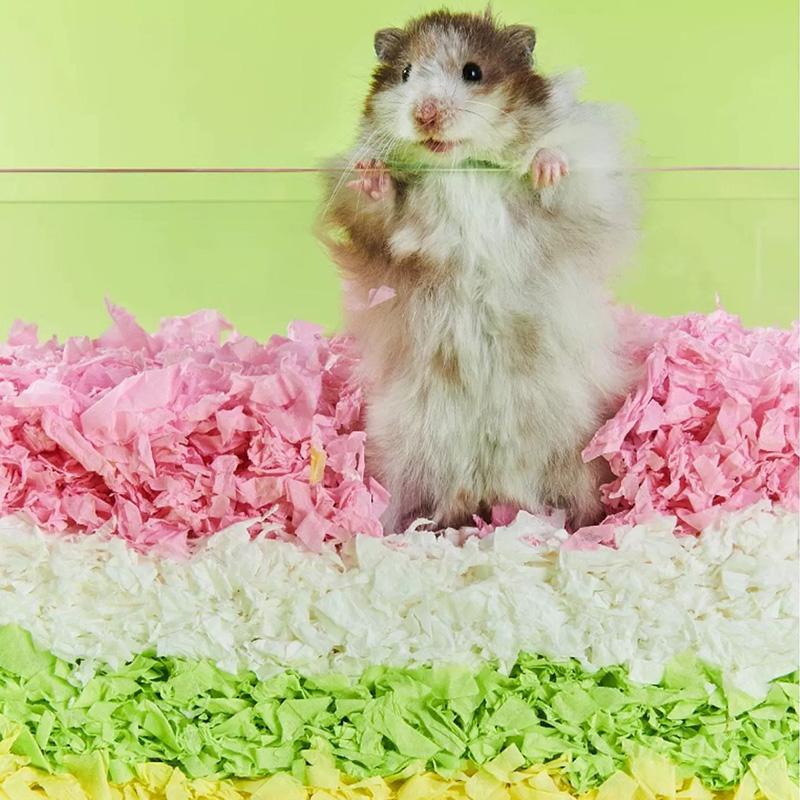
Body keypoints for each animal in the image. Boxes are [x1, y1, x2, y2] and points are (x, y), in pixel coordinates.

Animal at [318, 9, 638, 533]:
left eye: (473, 71)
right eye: (405, 73)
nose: (425, 114)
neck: (461, 165)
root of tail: (488, 488)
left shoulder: (586, 187)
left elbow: (561, 175)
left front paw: (546, 165)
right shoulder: (387, 230)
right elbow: (381, 210)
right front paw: (371, 172)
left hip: (578, 453)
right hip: (402, 453)